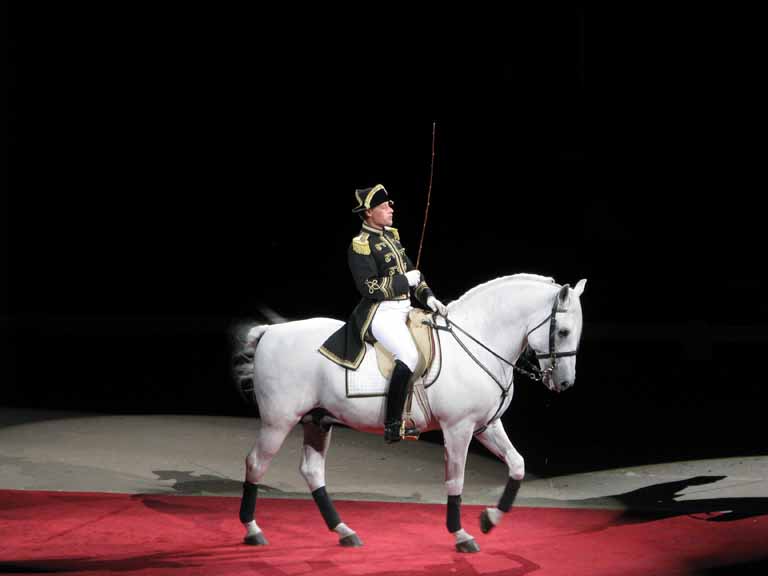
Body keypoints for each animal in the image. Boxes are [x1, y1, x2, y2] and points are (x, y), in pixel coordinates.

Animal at [237, 274, 584, 552]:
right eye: (564, 332)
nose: (566, 383)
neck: (477, 342)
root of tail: (270, 332)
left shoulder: (487, 425)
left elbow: (518, 465)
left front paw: (490, 519)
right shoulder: (458, 429)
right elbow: (455, 480)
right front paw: (461, 534)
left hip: (317, 420)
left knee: (312, 472)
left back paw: (344, 531)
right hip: (279, 421)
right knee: (255, 463)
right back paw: (253, 530)